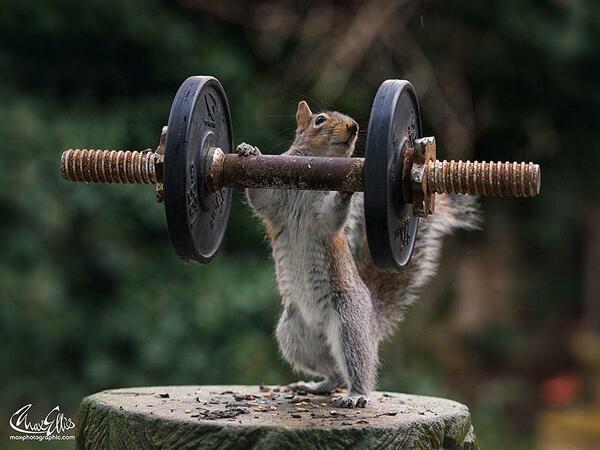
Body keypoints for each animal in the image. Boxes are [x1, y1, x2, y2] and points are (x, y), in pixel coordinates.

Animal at [238, 102, 478, 408]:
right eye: (319, 120)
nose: (353, 128)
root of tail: (372, 320)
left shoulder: (323, 220)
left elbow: (332, 216)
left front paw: (346, 189)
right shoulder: (276, 202)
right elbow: (259, 198)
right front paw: (249, 151)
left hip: (349, 322)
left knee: (356, 367)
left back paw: (356, 395)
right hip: (295, 335)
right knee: (334, 371)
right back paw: (317, 385)